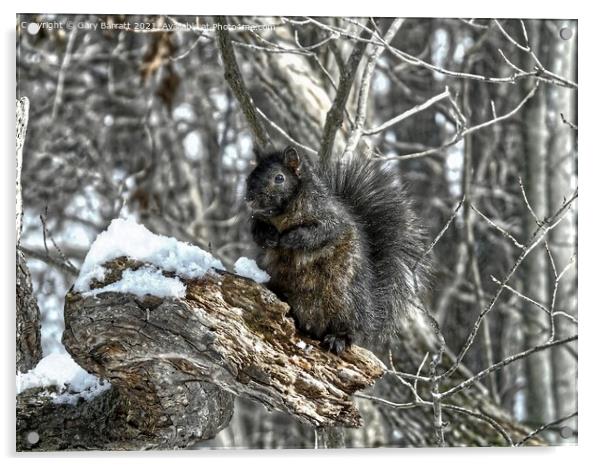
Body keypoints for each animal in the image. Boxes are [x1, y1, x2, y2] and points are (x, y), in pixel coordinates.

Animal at [243, 146, 426, 354]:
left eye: (279, 178)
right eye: (252, 173)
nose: (249, 197)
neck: (281, 215)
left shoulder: (331, 220)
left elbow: (319, 233)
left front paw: (291, 238)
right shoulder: (260, 220)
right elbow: (257, 232)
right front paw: (270, 237)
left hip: (346, 303)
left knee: (350, 330)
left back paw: (337, 338)